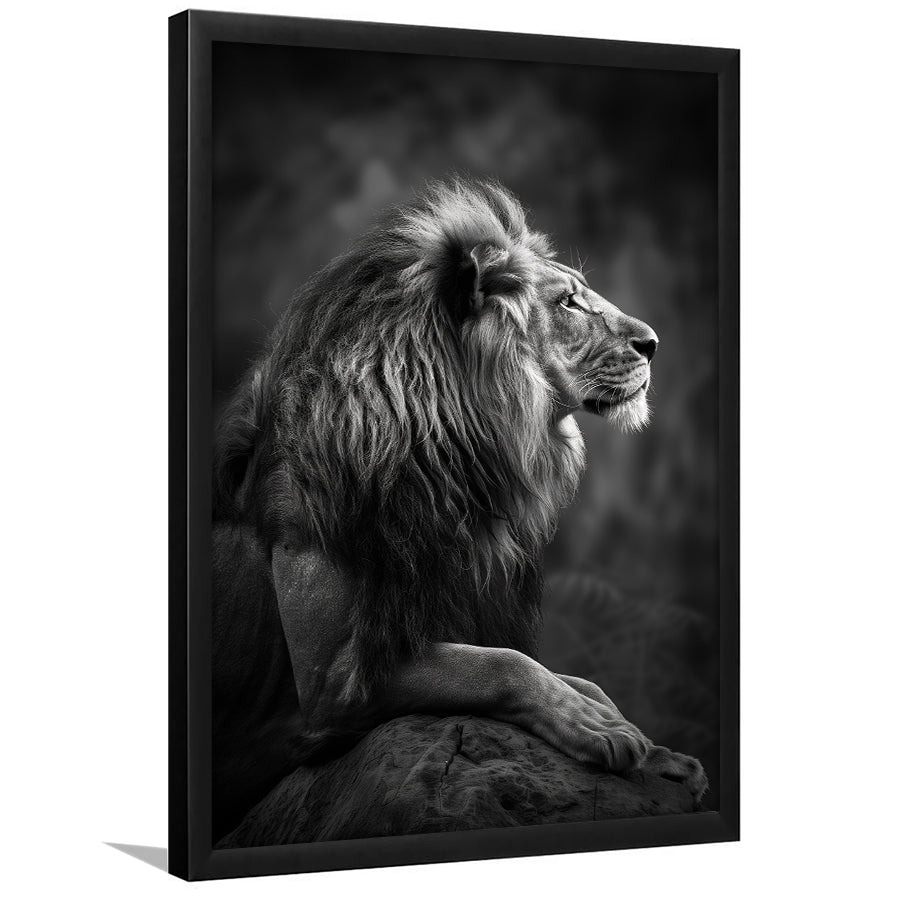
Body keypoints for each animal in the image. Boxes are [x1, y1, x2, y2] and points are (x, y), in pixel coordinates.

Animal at [211, 178, 707, 840]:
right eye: (567, 302)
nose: (653, 344)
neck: (449, 460)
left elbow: (576, 676)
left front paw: (655, 750)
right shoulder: (331, 685)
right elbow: (505, 666)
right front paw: (596, 728)